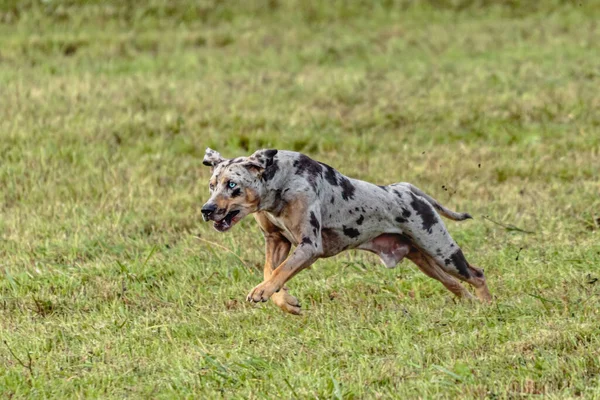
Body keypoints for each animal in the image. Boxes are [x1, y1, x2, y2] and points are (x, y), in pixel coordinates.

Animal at [202, 148, 492, 314]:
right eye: (212, 185)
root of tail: (407, 189)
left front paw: (263, 292)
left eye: (232, 184)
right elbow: (270, 271)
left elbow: (281, 270)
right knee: (456, 284)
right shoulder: (277, 240)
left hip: (443, 252)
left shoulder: (308, 246)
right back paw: (472, 305)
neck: (280, 183)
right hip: (426, 261)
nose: (206, 209)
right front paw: (285, 301)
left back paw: (489, 306)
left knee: (477, 275)